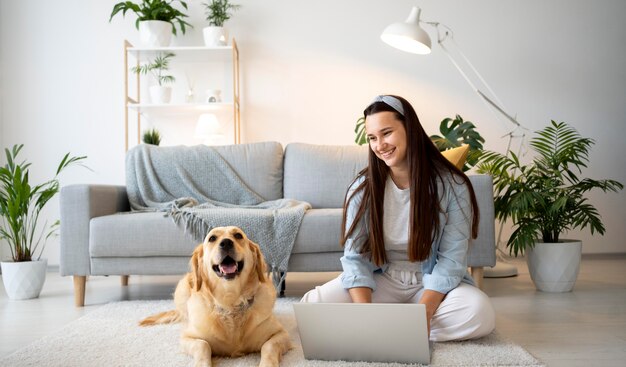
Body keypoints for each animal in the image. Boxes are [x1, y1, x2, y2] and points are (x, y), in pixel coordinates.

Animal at [139, 226, 290, 366]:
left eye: (238, 235)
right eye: (212, 238)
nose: (226, 243)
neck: (230, 301)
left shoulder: (280, 333)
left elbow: (269, 346)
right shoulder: (188, 337)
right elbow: (203, 345)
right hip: (182, 288)